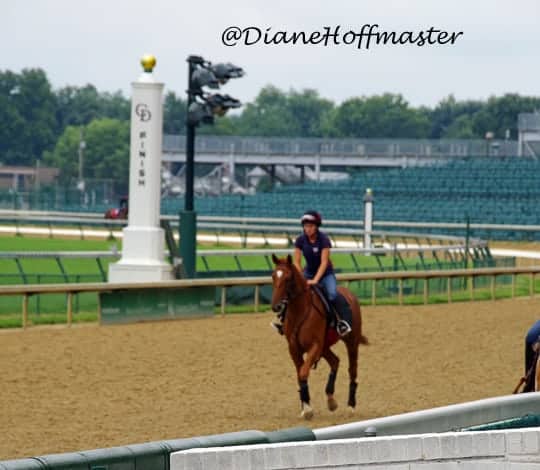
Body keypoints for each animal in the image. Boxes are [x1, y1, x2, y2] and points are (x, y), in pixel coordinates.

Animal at [272, 255, 370, 420]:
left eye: (288, 278)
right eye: (273, 276)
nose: (276, 307)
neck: (300, 311)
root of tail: (349, 294)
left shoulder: (315, 346)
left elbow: (303, 372)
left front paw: (308, 409)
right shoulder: (294, 348)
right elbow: (300, 375)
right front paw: (305, 406)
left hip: (351, 342)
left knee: (352, 370)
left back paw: (351, 405)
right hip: (325, 347)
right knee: (335, 361)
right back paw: (331, 400)